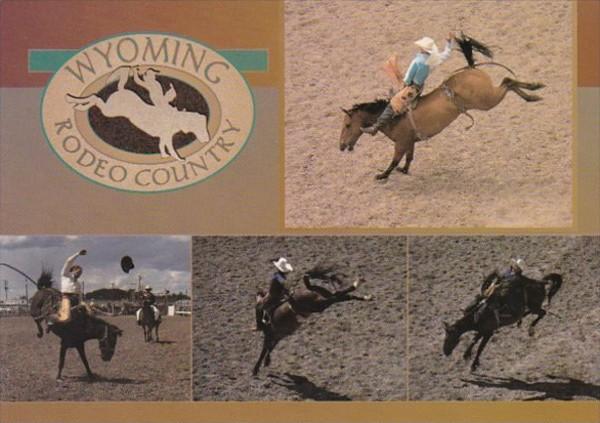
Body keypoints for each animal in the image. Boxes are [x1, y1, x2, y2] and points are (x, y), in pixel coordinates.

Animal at [340, 33, 548, 179]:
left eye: (348, 125)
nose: (341, 146)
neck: (393, 118)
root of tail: (471, 69)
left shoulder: (401, 143)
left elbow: (394, 160)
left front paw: (382, 175)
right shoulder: (410, 142)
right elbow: (409, 157)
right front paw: (404, 170)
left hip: (487, 100)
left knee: (507, 81)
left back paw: (534, 91)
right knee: (508, 82)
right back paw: (534, 92)